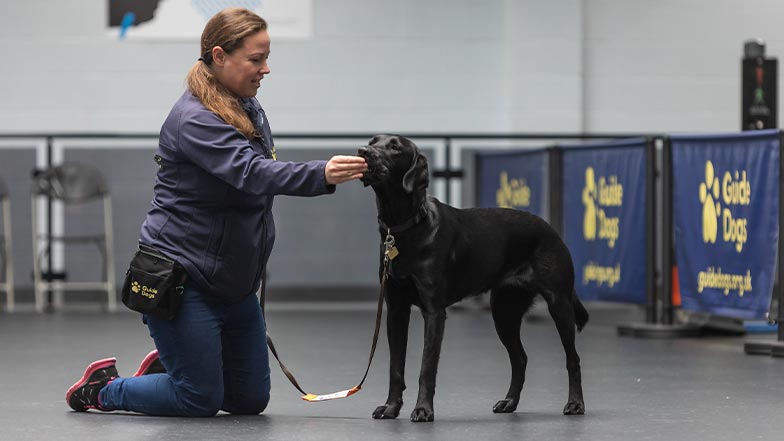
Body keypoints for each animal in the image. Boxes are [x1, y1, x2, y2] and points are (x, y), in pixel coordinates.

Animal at [356, 135, 588, 422]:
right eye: (373, 141)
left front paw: (423, 409)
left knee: (572, 358)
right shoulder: (396, 310)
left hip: (559, 304)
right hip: (504, 312)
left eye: (395, 147)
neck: (405, 227)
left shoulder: (434, 311)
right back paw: (509, 402)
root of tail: (551, 229)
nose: (362, 151)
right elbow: (395, 367)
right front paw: (391, 407)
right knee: (520, 359)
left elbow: (426, 367)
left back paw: (575, 404)